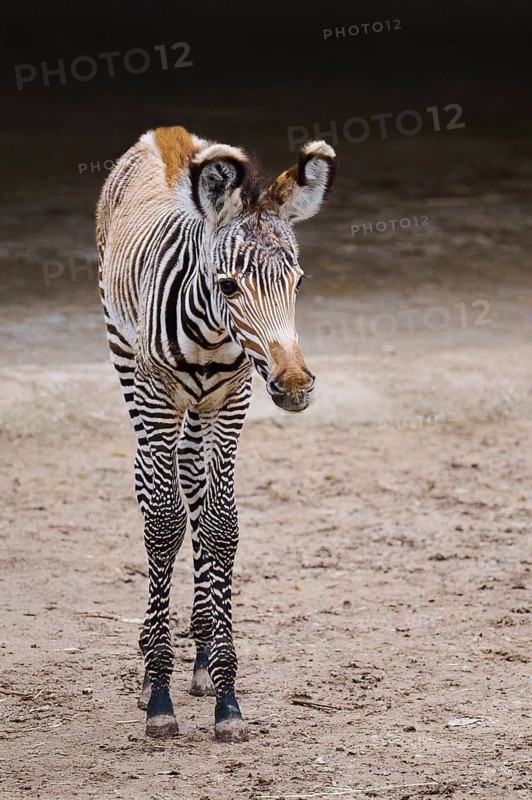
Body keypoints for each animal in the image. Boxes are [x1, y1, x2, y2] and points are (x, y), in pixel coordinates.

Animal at [96, 126, 336, 742]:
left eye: (299, 281)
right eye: (229, 285)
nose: (294, 384)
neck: (209, 333)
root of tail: (165, 135)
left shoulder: (234, 401)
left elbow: (221, 525)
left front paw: (226, 694)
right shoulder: (157, 399)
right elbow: (162, 524)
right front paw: (158, 694)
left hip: (198, 414)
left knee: (191, 489)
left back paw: (201, 657)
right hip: (128, 365)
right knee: (150, 483)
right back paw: (151, 662)